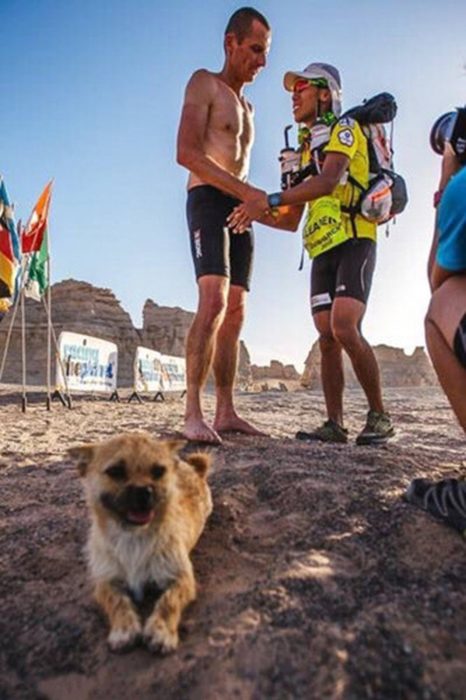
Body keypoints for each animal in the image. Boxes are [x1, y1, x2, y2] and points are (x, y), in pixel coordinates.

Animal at [68, 430, 211, 652]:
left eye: (159, 471)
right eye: (115, 471)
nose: (144, 491)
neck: (134, 537)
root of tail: (193, 469)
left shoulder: (182, 579)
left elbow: (168, 602)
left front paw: (161, 631)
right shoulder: (105, 582)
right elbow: (117, 602)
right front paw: (124, 628)